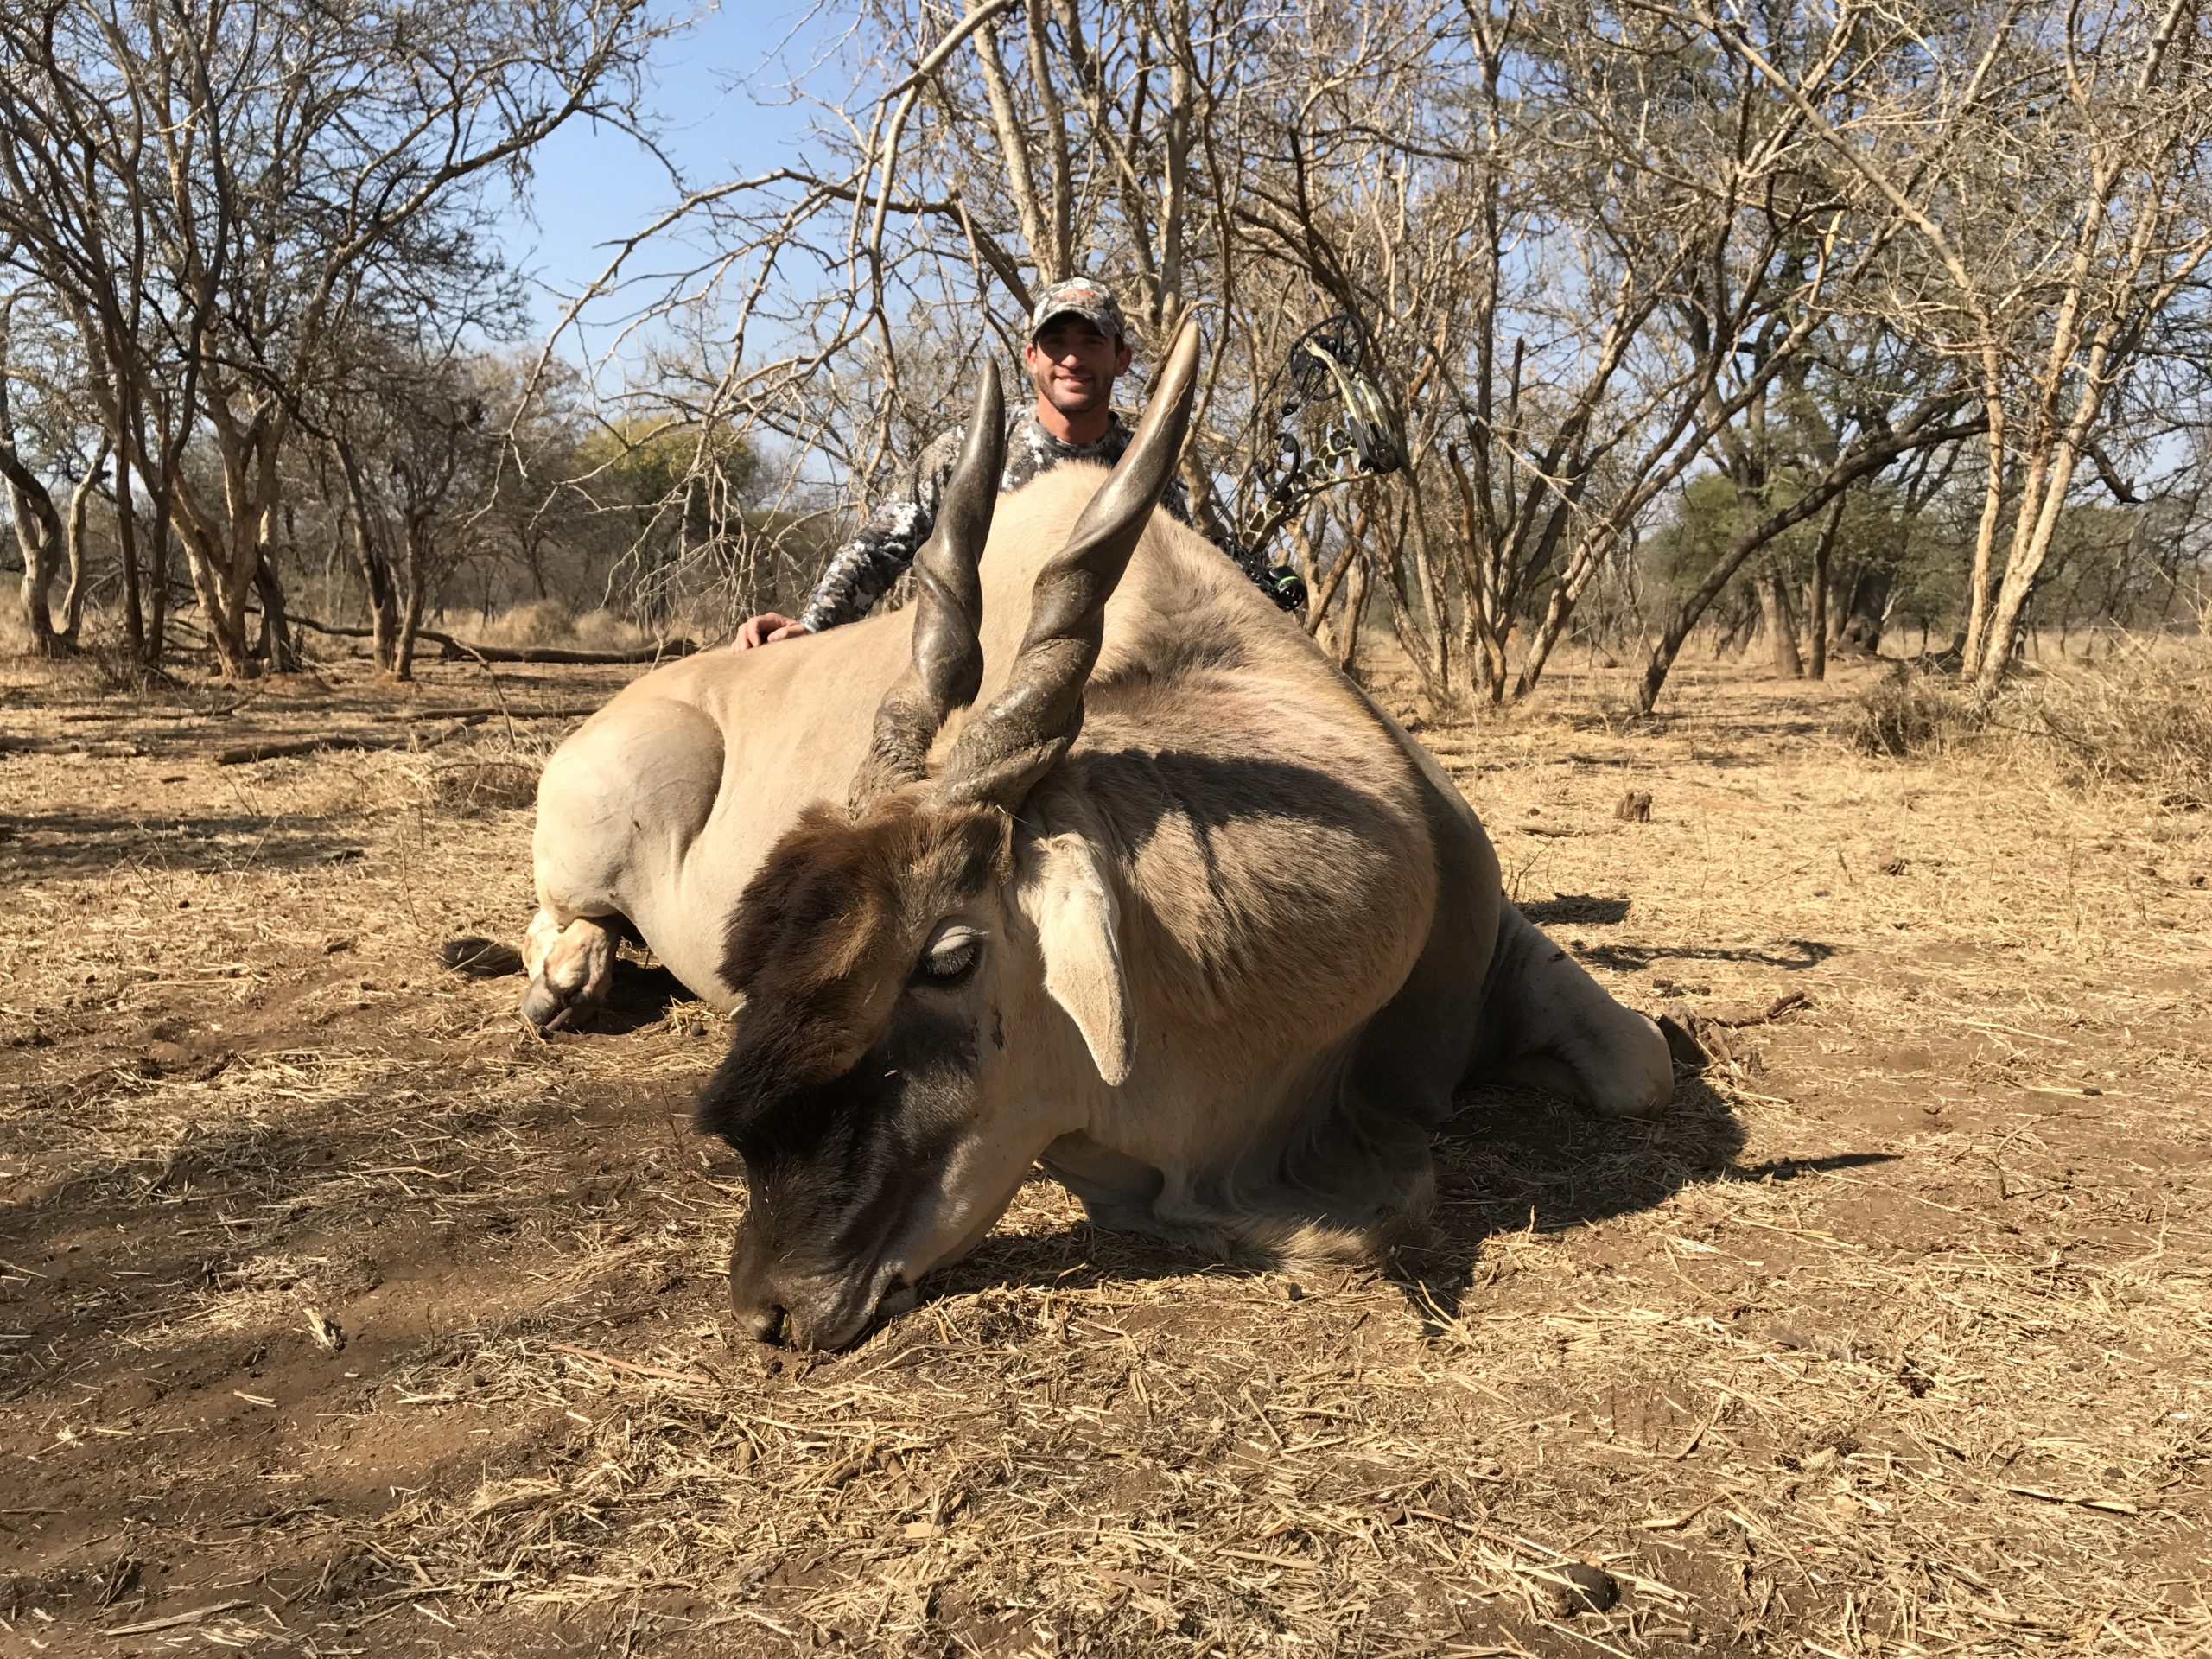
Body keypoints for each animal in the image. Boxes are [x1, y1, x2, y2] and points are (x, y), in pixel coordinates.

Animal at [522, 320, 1673, 1349]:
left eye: (948, 957)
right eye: (759, 958)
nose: (769, 1303)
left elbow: (1642, 1063)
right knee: (562, 919)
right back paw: (565, 978)